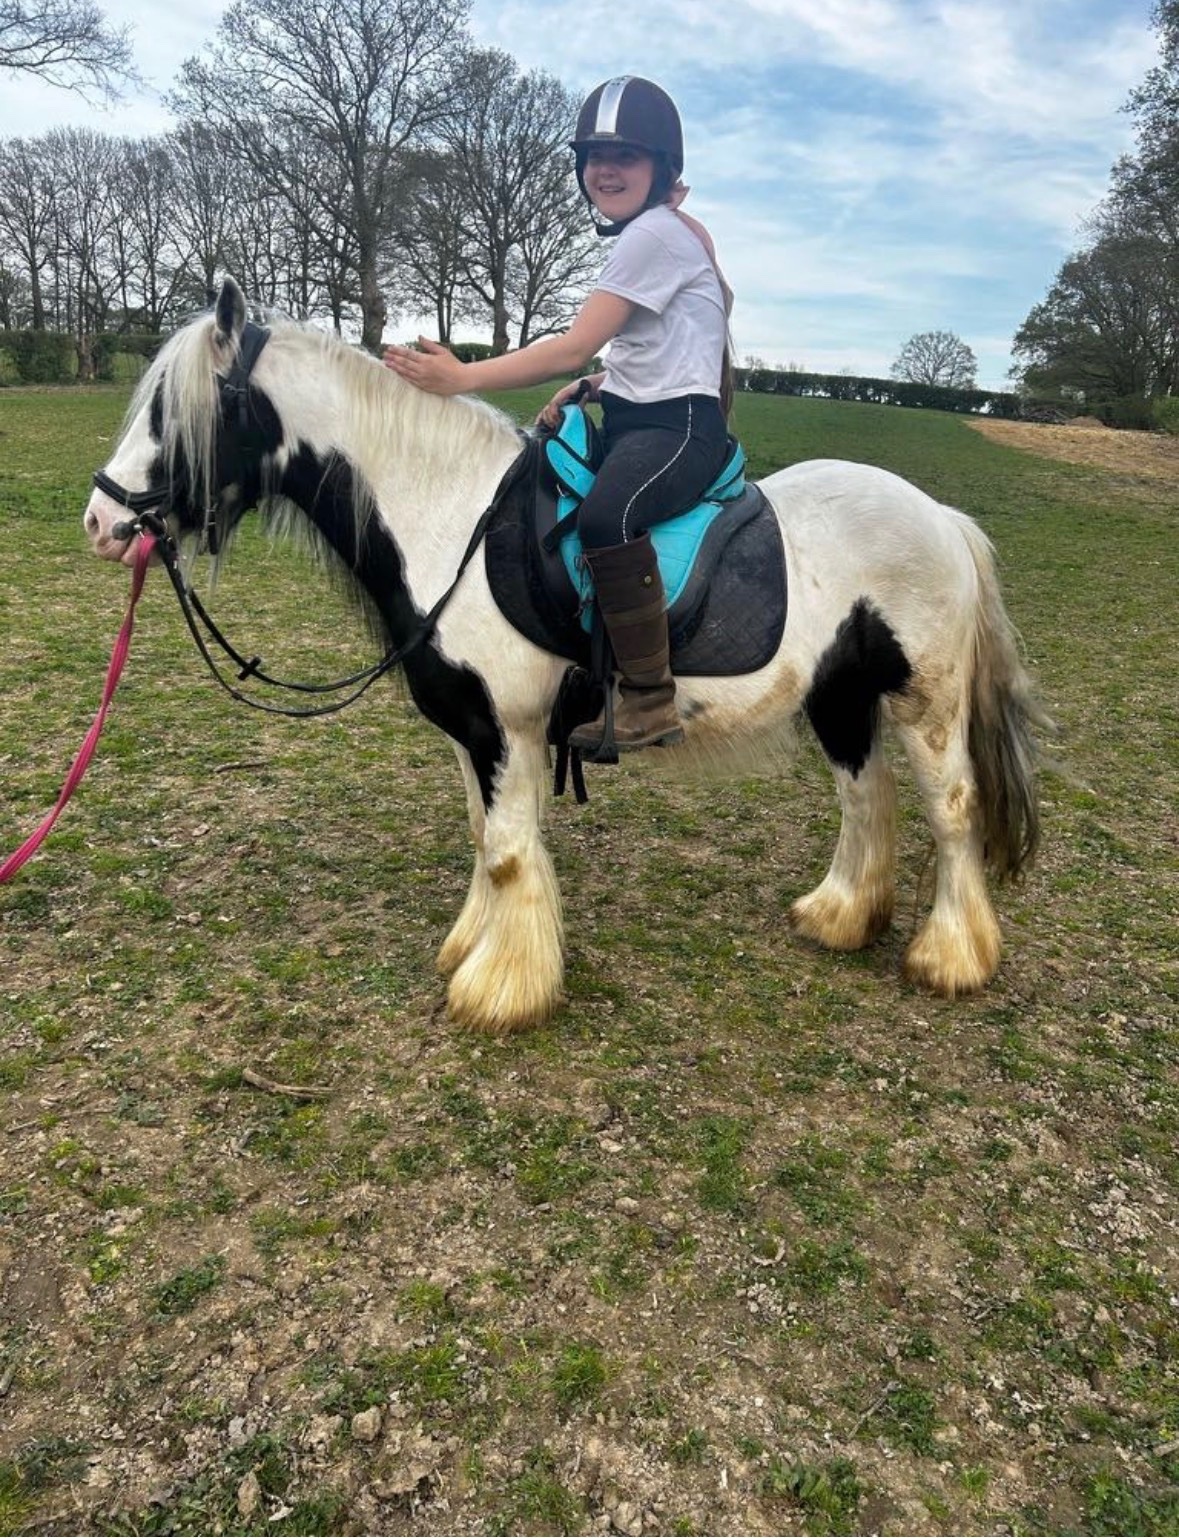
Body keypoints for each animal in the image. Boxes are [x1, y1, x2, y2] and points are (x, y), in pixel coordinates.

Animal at [83, 279, 1044, 1035]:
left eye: (171, 412)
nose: (102, 521)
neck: (451, 517)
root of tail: (940, 519)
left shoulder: (507, 729)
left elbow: (509, 852)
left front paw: (501, 992)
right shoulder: (472, 731)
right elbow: (484, 839)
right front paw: (471, 948)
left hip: (923, 700)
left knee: (951, 808)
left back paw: (949, 957)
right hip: (839, 694)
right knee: (863, 794)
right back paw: (841, 917)